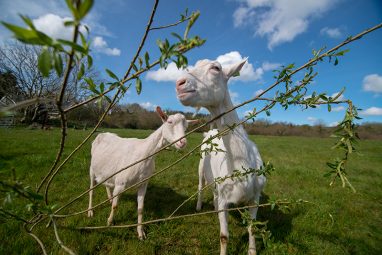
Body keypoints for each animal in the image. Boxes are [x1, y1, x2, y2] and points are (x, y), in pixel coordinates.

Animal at [89, 106, 190, 240]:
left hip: (107, 171)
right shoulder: (120, 183)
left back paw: (110, 199)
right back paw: (90, 211)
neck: (144, 154)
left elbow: (141, 209)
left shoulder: (143, 183)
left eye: (186, 127)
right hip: (92, 169)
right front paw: (110, 222)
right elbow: (116, 206)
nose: (182, 142)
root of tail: (102, 133)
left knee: (107, 184)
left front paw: (140, 233)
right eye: (169, 122)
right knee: (91, 190)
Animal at [176, 59, 266, 255]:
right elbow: (224, 236)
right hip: (201, 166)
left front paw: (252, 251)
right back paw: (199, 206)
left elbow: (252, 227)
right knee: (201, 186)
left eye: (216, 68)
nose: (179, 84)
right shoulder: (226, 199)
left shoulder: (255, 197)